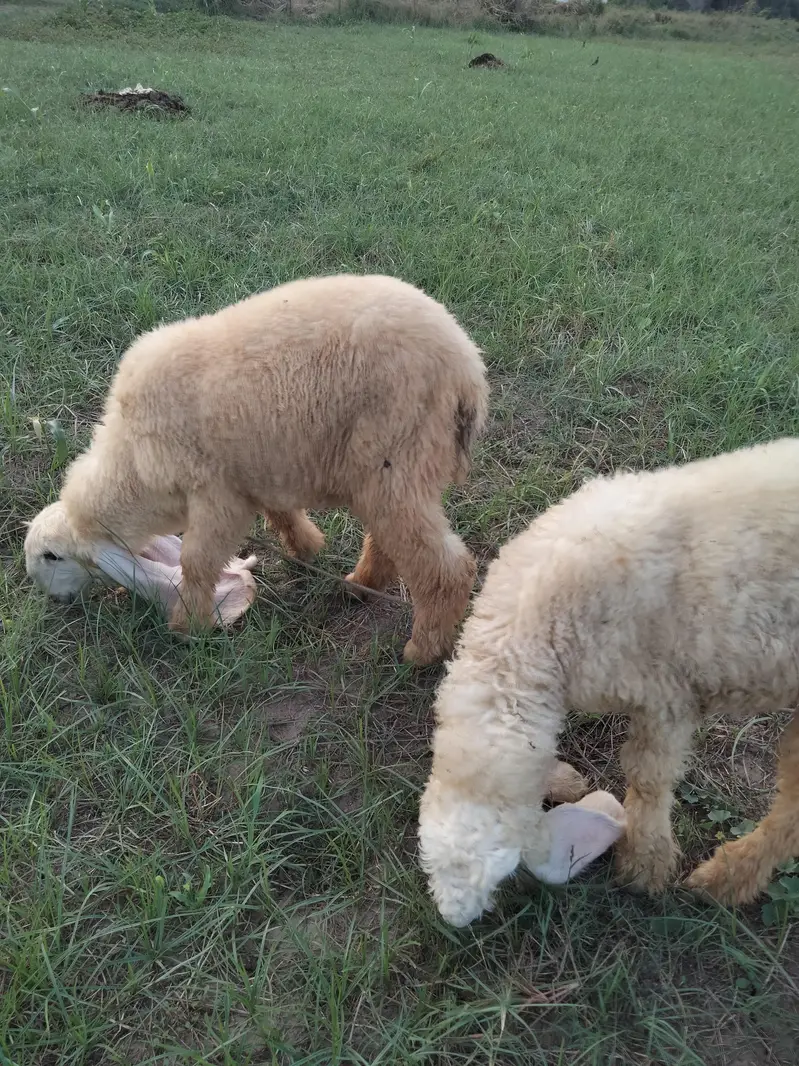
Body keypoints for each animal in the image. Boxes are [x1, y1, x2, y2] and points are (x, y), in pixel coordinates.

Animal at [24, 274, 489, 666]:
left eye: (52, 556)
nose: (57, 602)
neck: (131, 463)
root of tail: (467, 366)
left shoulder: (214, 493)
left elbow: (197, 561)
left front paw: (188, 624)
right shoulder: (254, 474)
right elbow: (280, 514)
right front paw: (305, 549)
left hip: (396, 455)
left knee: (445, 568)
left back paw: (422, 649)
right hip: (384, 470)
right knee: (391, 537)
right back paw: (362, 583)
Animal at [418, 437, 799, 926]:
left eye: (503, 869)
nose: (455, 920)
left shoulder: (665, 693)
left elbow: (648, 777)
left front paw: (644, 863)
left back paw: (724, 879)